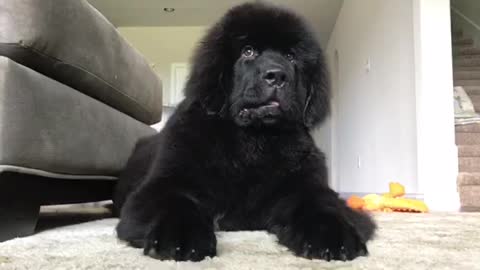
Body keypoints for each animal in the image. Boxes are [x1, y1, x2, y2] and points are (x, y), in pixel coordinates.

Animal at [113, 2, 376, 262]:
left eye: (290, 57)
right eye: (248, 52)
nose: (277, 75)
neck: (253, 140)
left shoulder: (306, 183)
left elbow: (321, 204)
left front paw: (331, 234)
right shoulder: (164, 183)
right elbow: (176, 201)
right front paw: (180, 236)